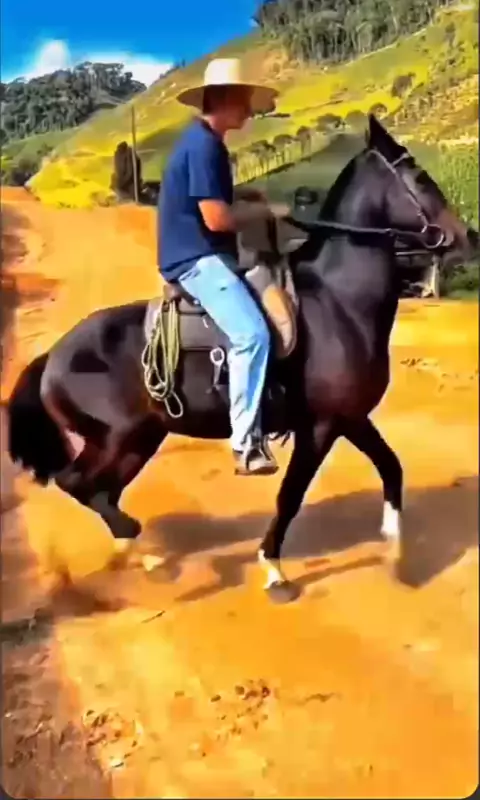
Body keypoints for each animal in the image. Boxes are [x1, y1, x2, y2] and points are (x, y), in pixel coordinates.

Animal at [7, 116, 477, 603]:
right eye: (419, 176)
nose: (468, 236)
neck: (337, 301)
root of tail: (52, 356)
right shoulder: (322, 426)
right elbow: (291, 495)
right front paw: (274, 570)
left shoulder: (350, 417)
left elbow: (392, 468)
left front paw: (396, 552)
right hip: (118, 436)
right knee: (79, 484)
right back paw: (144, 554)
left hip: (139, 438)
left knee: (103, 490)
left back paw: (139, 553)